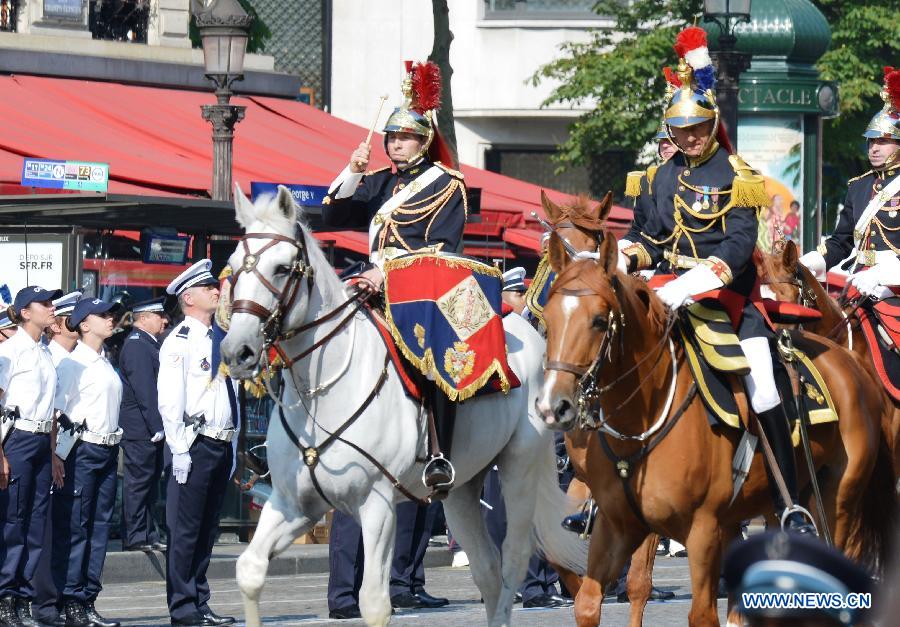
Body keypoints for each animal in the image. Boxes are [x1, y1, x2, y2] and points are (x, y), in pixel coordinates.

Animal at [218, 186, 584, 627]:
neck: (319, 394)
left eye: (282, 268)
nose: (237, 351)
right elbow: (249, 571)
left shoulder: (377, 505)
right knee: (488, 572)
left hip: (519, 469)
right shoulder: (293, 503)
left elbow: (374, 603)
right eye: (232, 267)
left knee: (512, 559)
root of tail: (531, 333)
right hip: (461, 490)